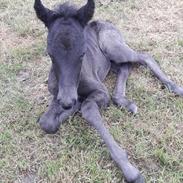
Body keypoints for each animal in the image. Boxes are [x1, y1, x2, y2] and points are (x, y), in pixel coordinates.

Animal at [34, 0, 183, 182]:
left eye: (83, 53)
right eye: (50, 54)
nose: (68, 101)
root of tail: (104, 22)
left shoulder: (100, 92)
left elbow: (89, 108)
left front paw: (130, 170)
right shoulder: (57, 95)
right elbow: (46, 122)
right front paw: (71, 108)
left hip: (113, 47)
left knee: (143, 57)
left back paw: (174, 87)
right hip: (110, 60)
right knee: (125, 67)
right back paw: (124, 102)